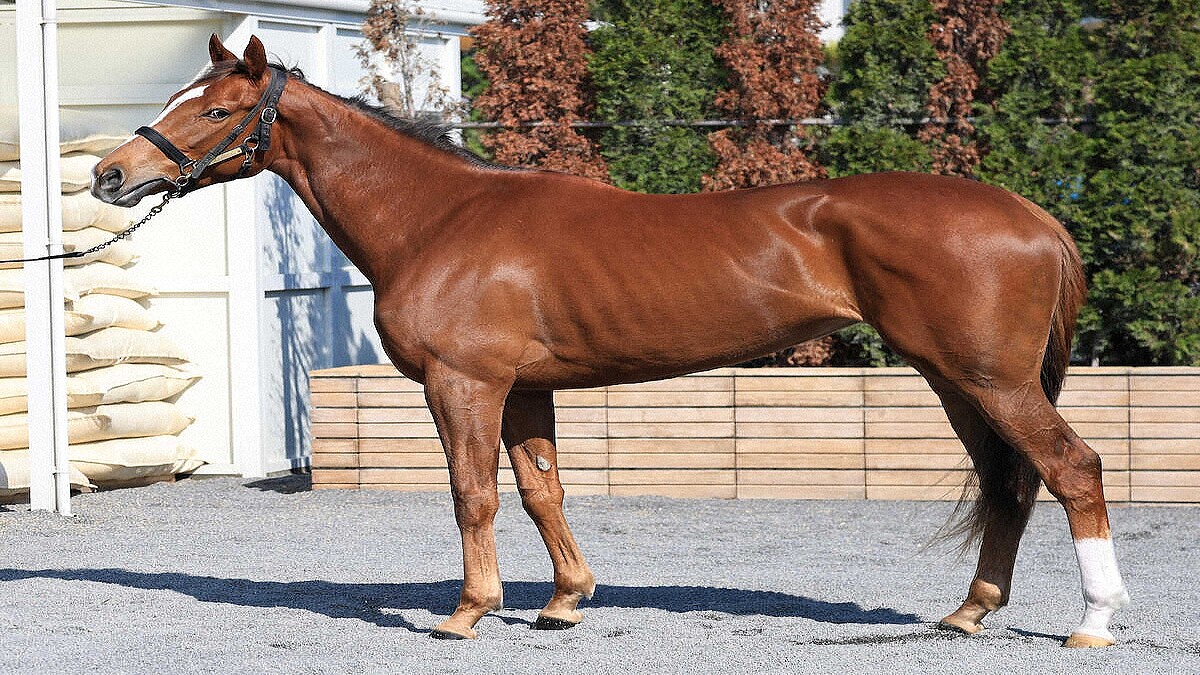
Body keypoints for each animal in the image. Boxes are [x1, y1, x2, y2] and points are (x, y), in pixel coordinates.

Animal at [91, 34, 1129, 647]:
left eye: (216, 109)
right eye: (183, 95)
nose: (110, 173)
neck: (441, 217)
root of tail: (1036, 215)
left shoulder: (463, 384)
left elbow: (474, 494)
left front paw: (467, 611)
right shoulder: (525, 388)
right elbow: (542, 490)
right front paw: (562, 601)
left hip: (988, 379)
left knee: (1072, 468)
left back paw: (1094, 621)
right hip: (958, 380)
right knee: (1011, 483)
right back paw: (968, 611)